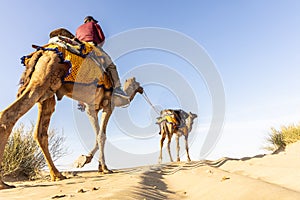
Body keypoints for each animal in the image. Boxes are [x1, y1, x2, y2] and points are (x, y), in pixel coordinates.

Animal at [0, 35, 143, 189]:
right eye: (138, 84)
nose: (142, 89)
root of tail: (41, 52)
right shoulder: (105, 106)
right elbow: (101, 135)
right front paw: (103, 167)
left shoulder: (91, 107)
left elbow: (98, 134)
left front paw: (88, 161)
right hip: (42, 81)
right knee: (9, 115)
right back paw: (3, 183)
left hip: (47, 92)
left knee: (40, 133)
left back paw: (57, 175)